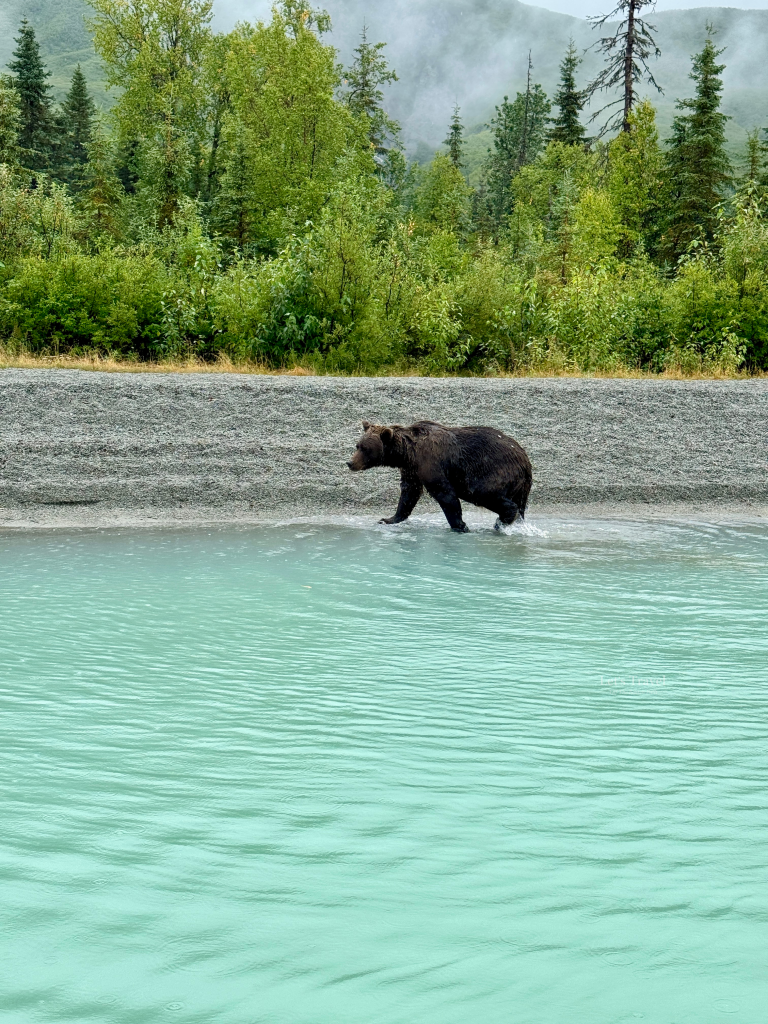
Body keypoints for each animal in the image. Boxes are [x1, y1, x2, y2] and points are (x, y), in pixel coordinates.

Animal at [347, 420, 533, 533]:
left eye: (365, 448)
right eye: (357, 445)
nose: (350, 462)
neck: (407, 453)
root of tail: (525, 460)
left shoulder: (430, 464)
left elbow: (445, 494)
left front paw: (460, 525)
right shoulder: (411, 469)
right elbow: (408, 494)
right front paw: (388, 519)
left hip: (492, 470)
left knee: (484, 493)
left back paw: (502, 521)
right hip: (520, 485)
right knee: (519, 504)